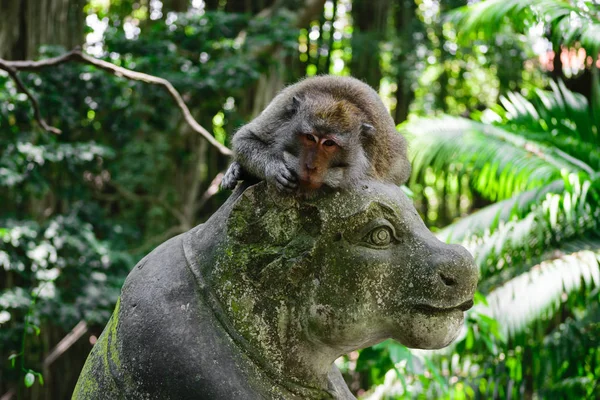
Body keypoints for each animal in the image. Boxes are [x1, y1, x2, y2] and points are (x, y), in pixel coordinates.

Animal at [220, 76, 412, 195]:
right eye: (310, 138)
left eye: (329, 143)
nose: (310, 166)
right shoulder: (280, 111)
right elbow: (244, 138)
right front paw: (274, 168)